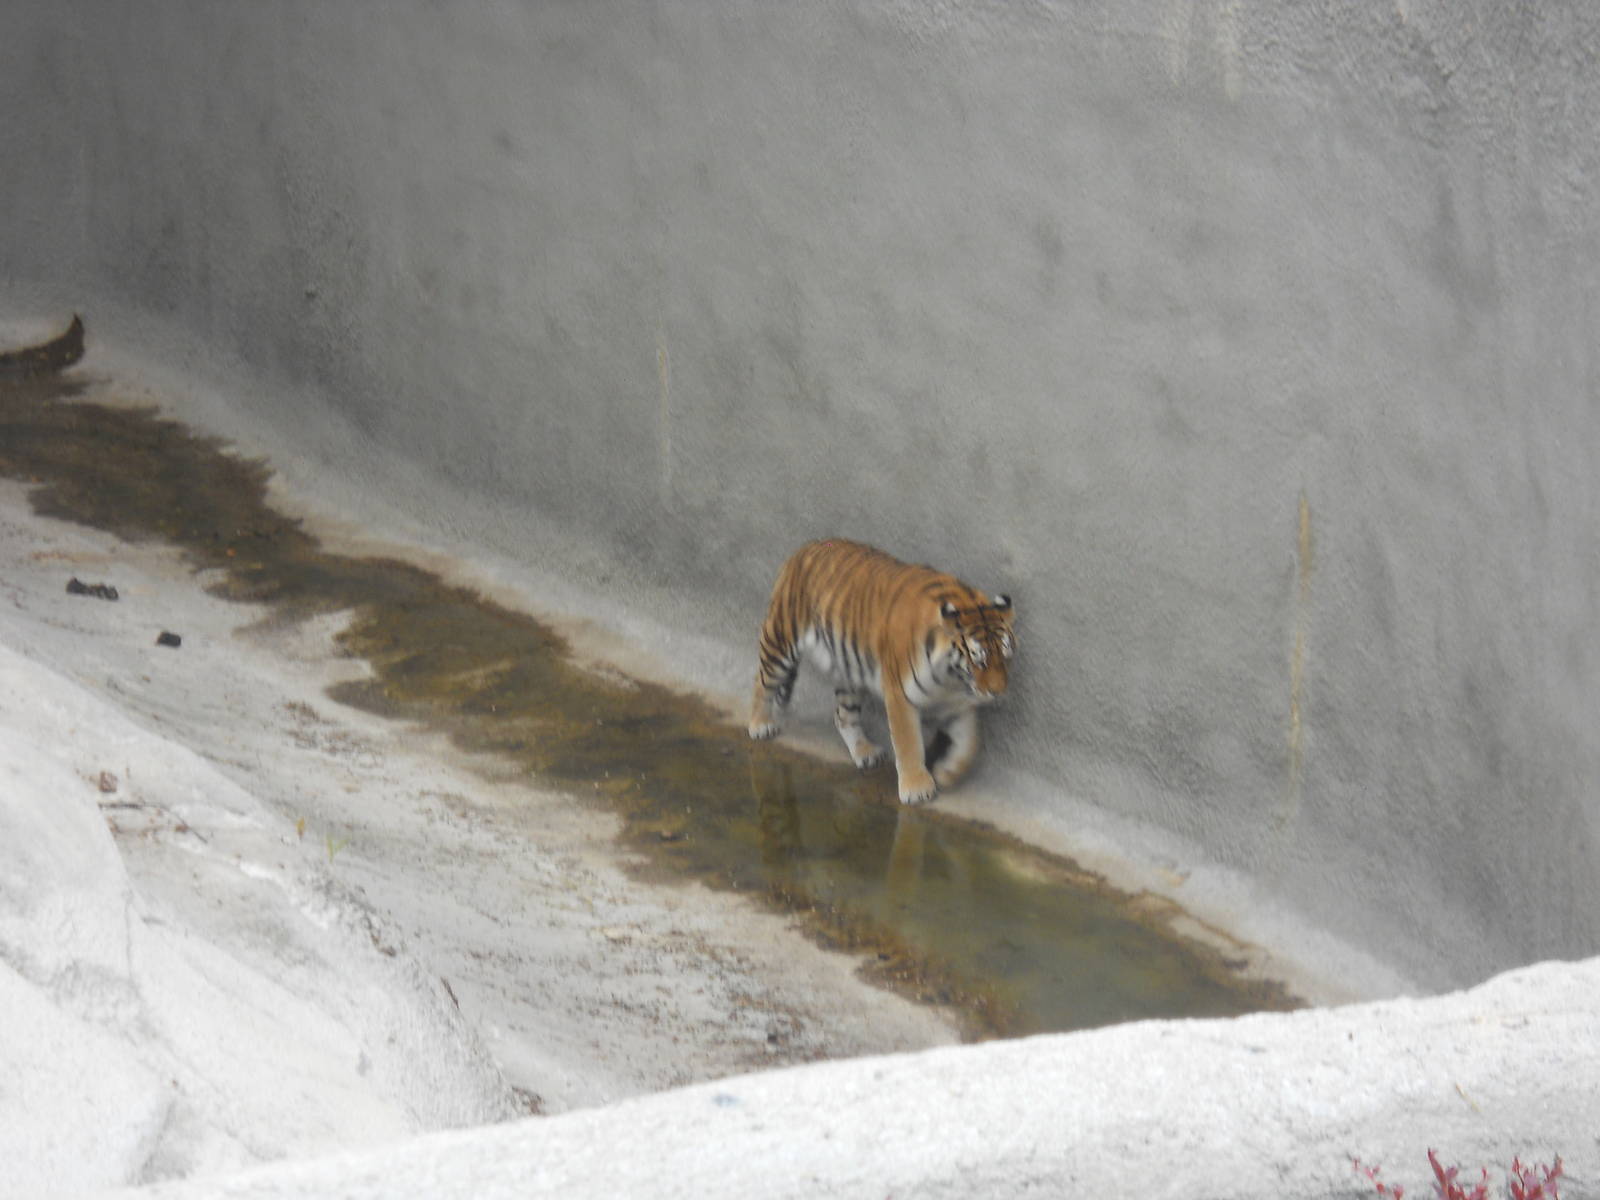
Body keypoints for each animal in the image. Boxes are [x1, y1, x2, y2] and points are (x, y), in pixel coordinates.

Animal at [747, 538, 1014, 804]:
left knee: (843, 716)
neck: (951, 678)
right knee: (762, 682)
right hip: (780, 641)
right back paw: (760, 725)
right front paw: (917, 788)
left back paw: (866, 753)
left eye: (1005, 657)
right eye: (979, 661)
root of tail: (805, 547)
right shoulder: (900, 695)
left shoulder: (957, 702)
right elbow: (908, 743)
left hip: (849, 674)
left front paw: (947, 773)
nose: (998, 692)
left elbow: (970, 743)